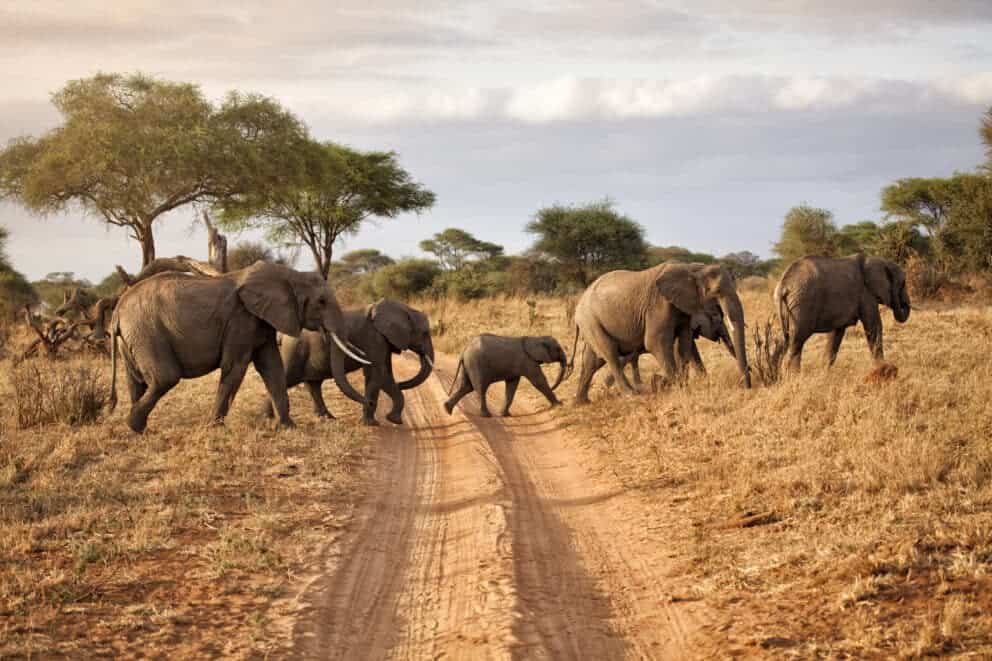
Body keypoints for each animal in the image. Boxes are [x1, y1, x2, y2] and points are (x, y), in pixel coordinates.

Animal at [107, 261, 368, 432]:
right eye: (321, 302)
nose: (369, 405)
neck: (289, 275)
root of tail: (118, 310)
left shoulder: (262, 320)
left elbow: (272, 367)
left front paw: (288, 427)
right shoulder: (241, 319)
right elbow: (236, 367)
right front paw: (214, 428)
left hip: (132, 338)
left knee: (136, 381)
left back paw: (139, 430)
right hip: (147, 332)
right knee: (165, 378)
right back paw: (134, 425)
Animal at [266, 299, 434, 426]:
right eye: (425, 333)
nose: (370, 403)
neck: (405, 309)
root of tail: (281, 335)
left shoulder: (383, 340)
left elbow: (385, 373)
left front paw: (391, 420)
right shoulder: (374, 339)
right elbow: (379, 374)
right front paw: (377, 423)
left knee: (314, 384)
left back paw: (327, 418)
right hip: (295, 350)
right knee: (287, 379)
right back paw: (269, 418)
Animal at [572, 262, 751, 404]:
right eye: (717, 291)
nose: (747, 387)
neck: (692, 268)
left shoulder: (683, 310)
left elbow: (685, 345)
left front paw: (678, 384)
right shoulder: (659, 304)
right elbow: (655, 342)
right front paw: (659, 382)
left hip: (591, 323)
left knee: (592, 361)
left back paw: (581, 402)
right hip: (590, 320)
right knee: (610, 354)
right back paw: (632, 394)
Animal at [774, 253, 910, 371]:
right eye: (903, 284)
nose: (903, 303)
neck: (881, 261)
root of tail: (783, 286)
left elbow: (836, 333)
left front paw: (825, 372)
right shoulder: (866, 294)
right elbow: (874, 326)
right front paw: (883, 367)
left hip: (787, 308)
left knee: (783, 340)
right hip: (802, 304)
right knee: (796, 341)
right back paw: (793, 375)